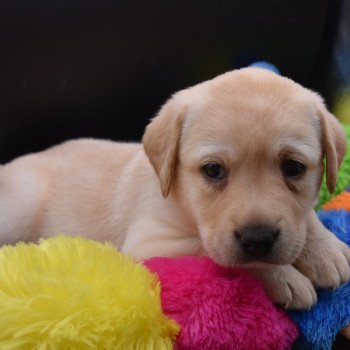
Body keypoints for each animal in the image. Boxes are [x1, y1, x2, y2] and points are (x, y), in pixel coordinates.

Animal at [0, 68, 350, 308]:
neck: (184, 202)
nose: (258, 238)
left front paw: (326, 250)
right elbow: (217, 256)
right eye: (213, 170)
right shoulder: (150, 245)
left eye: (293, 167)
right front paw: (285, 277)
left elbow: (306, 217)